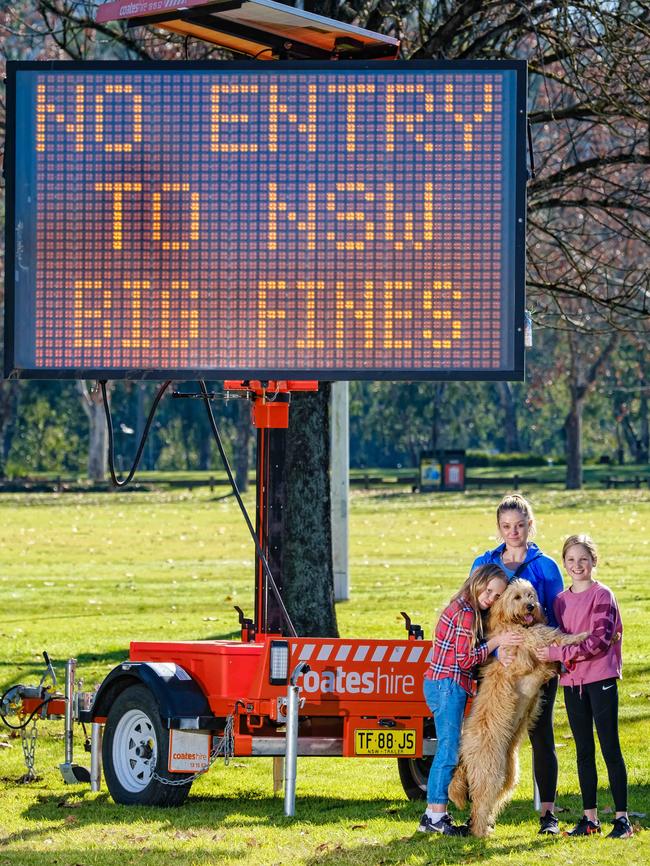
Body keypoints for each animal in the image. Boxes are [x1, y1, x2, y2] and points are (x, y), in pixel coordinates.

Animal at [448, 576, 584, 832]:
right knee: (480, 804)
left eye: (531, 595)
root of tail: (463, 755)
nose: (531, 607)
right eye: (517, 597)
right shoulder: (531, 642)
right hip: (489, 771)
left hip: (507, 773)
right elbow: (556, 635)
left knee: (491, 802)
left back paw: (486, 827)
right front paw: (582, 635)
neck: (512, 623)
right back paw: (480, 832)